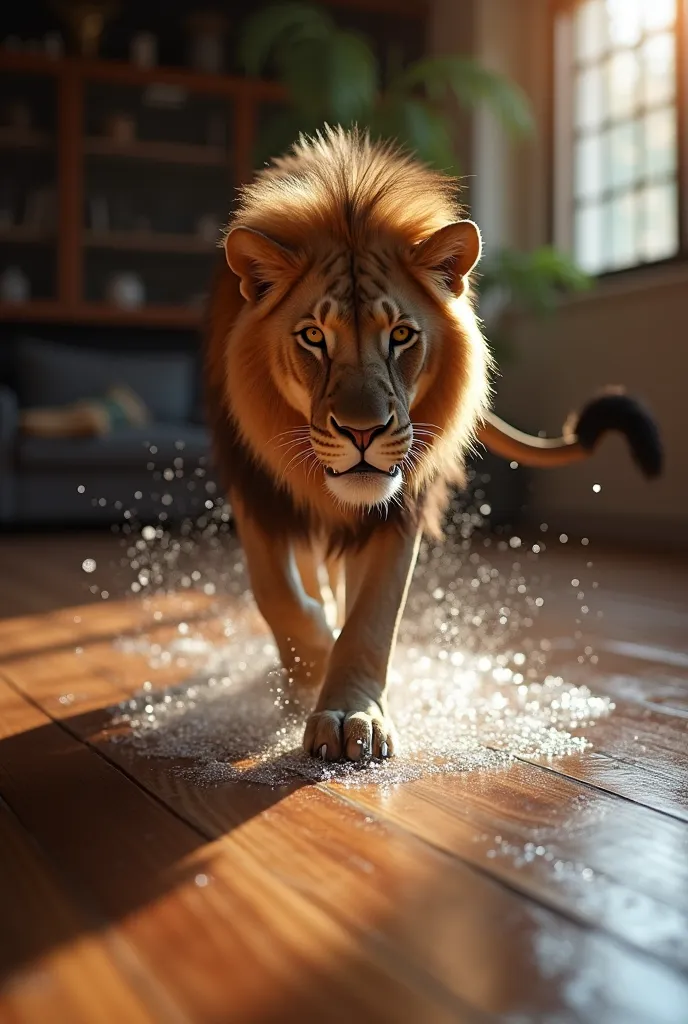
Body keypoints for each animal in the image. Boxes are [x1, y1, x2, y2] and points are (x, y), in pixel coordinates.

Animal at [205, 125, 659, 761]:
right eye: (313, 336)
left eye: (401, 335)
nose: (363, 432)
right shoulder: (256, 491)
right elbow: (280, 596)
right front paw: (310, 665)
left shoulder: (399, 506)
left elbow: (372, 618)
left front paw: (350, 712)